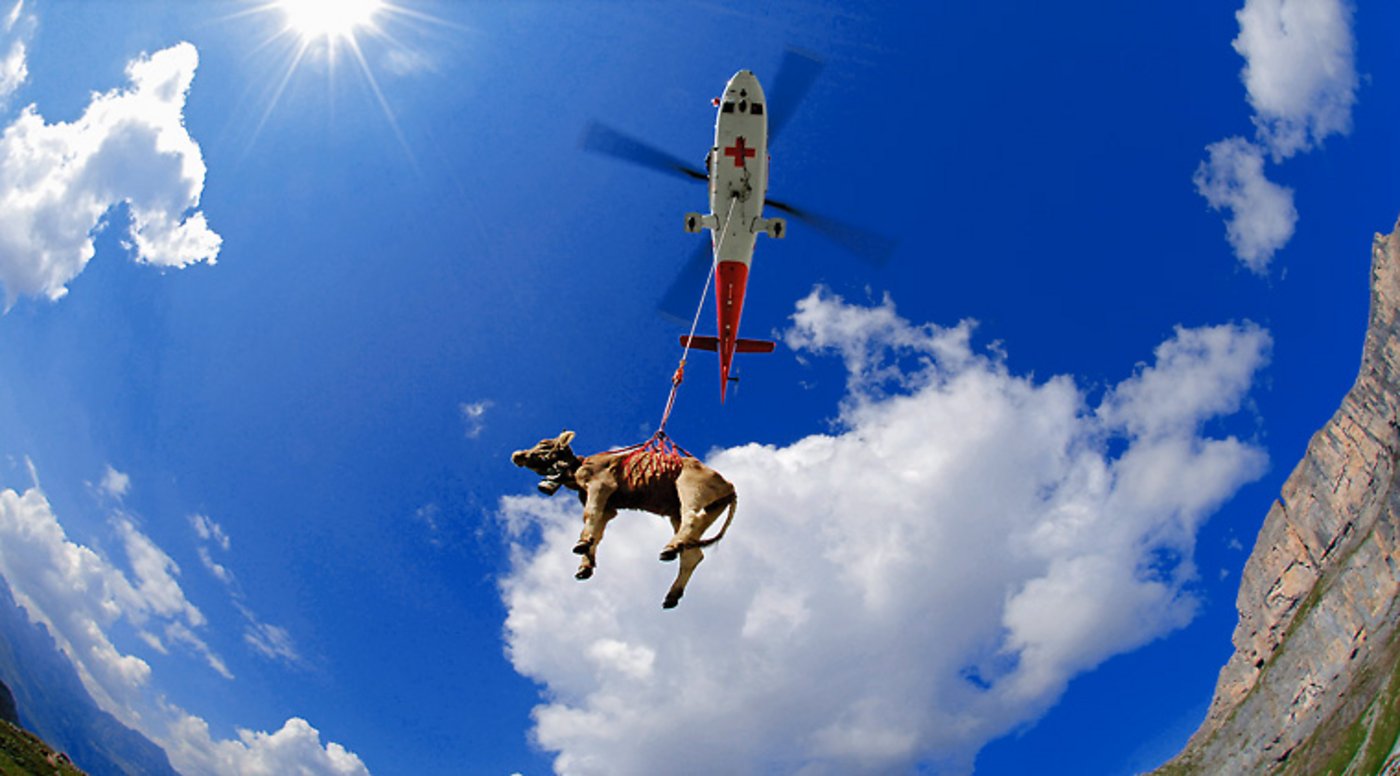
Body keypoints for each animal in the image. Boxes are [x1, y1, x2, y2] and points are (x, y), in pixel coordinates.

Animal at [511, 430, 737, 609]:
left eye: (544, 444)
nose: (517, 455)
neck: (577, 469)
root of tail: (730, 486)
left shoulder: (601, 485)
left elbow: (590, 514)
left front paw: (581, 544)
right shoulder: (609, 508)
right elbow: (597, 531)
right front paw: (586, 564)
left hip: (690, 488)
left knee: (693, 517)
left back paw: (670, 549)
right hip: (685, 512)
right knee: (692, 552)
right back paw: (672, 588)